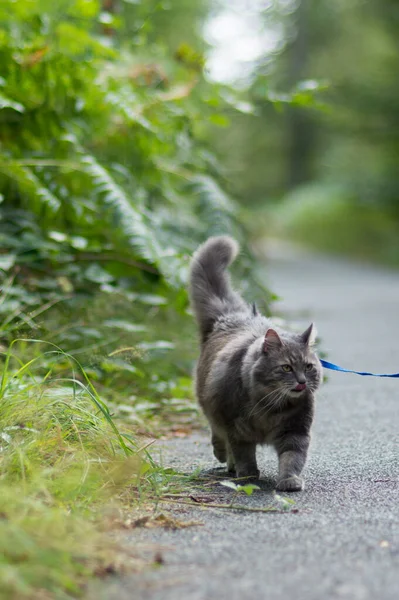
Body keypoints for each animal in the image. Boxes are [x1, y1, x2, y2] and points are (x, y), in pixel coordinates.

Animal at [189, 234, 324, 492]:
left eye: (309, 367)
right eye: (286, 367)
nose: (302, 382)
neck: (271, 406)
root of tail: (232, 315)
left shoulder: (296, 431)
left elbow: (292, 459)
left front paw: (289, 481)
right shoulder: (238, 429)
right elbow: (244, 454)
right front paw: (248, 476)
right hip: (211, 406)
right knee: (218, 435)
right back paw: (226, 460)